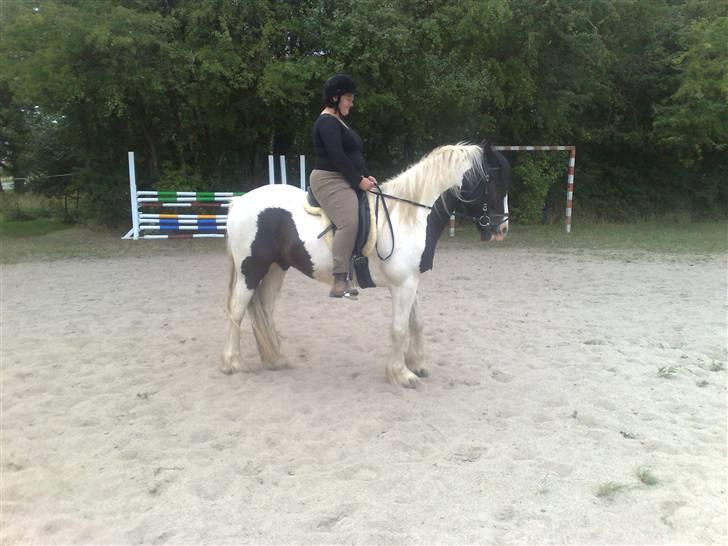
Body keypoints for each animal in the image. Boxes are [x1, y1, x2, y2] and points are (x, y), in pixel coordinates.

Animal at [222, 142, 512, 384]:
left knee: (264, 309)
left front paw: (416, 364)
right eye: (495, 183)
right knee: (236, 310)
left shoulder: (411, 282)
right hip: (251, 270)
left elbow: (417, 322)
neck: (410, 215)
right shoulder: (403, 285)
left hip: (275, 269)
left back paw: (275, 359)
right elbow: (399, 328)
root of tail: (239, 202)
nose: (502, 229)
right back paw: (231, 363)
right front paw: (401, 374)